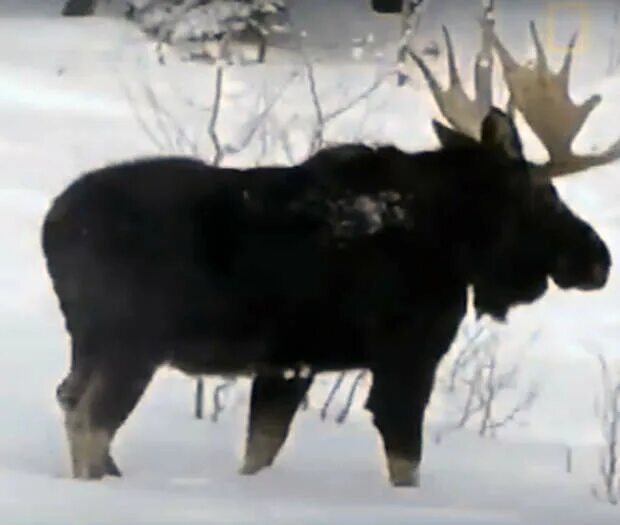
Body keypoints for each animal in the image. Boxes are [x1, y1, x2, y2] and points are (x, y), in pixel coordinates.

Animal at [42, 20, 616, 488]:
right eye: (546, 195)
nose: (599, 259)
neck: (455, 243)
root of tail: (54, 227)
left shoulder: (288, 364)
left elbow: (260, 452)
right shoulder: (408, 351)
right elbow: (405, 462)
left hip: (88, 339)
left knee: (69, 399)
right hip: (132, 336)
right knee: (91, 421)